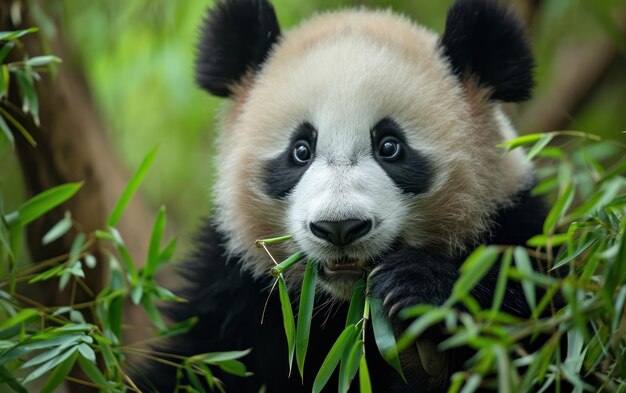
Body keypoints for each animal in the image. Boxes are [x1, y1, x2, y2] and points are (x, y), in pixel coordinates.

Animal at [136, 0, 544, 390]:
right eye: (301, 150)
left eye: (390, 147)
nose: (340, 227)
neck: (341, 308)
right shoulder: (234, 291)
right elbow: (194, 362)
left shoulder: (515, 223)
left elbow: (526, 311)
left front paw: (417, 289)